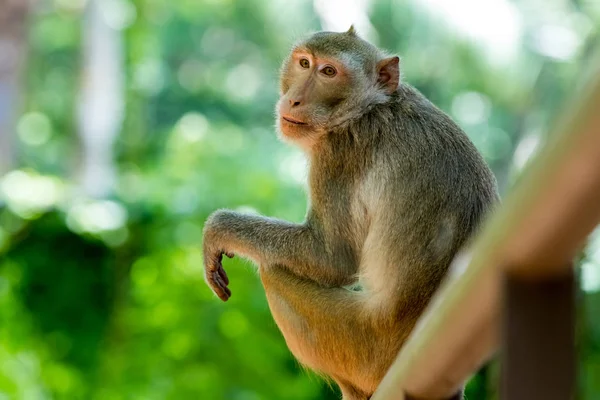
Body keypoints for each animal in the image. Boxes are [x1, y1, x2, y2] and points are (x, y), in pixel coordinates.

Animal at [202, 26, 496, 398]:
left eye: (329, 72)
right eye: (304, 63)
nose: (294, 99)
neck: (367, 107)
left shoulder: (338, 153)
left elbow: (332, 258)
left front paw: (219, 228)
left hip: (362, 347)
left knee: (275, 271)